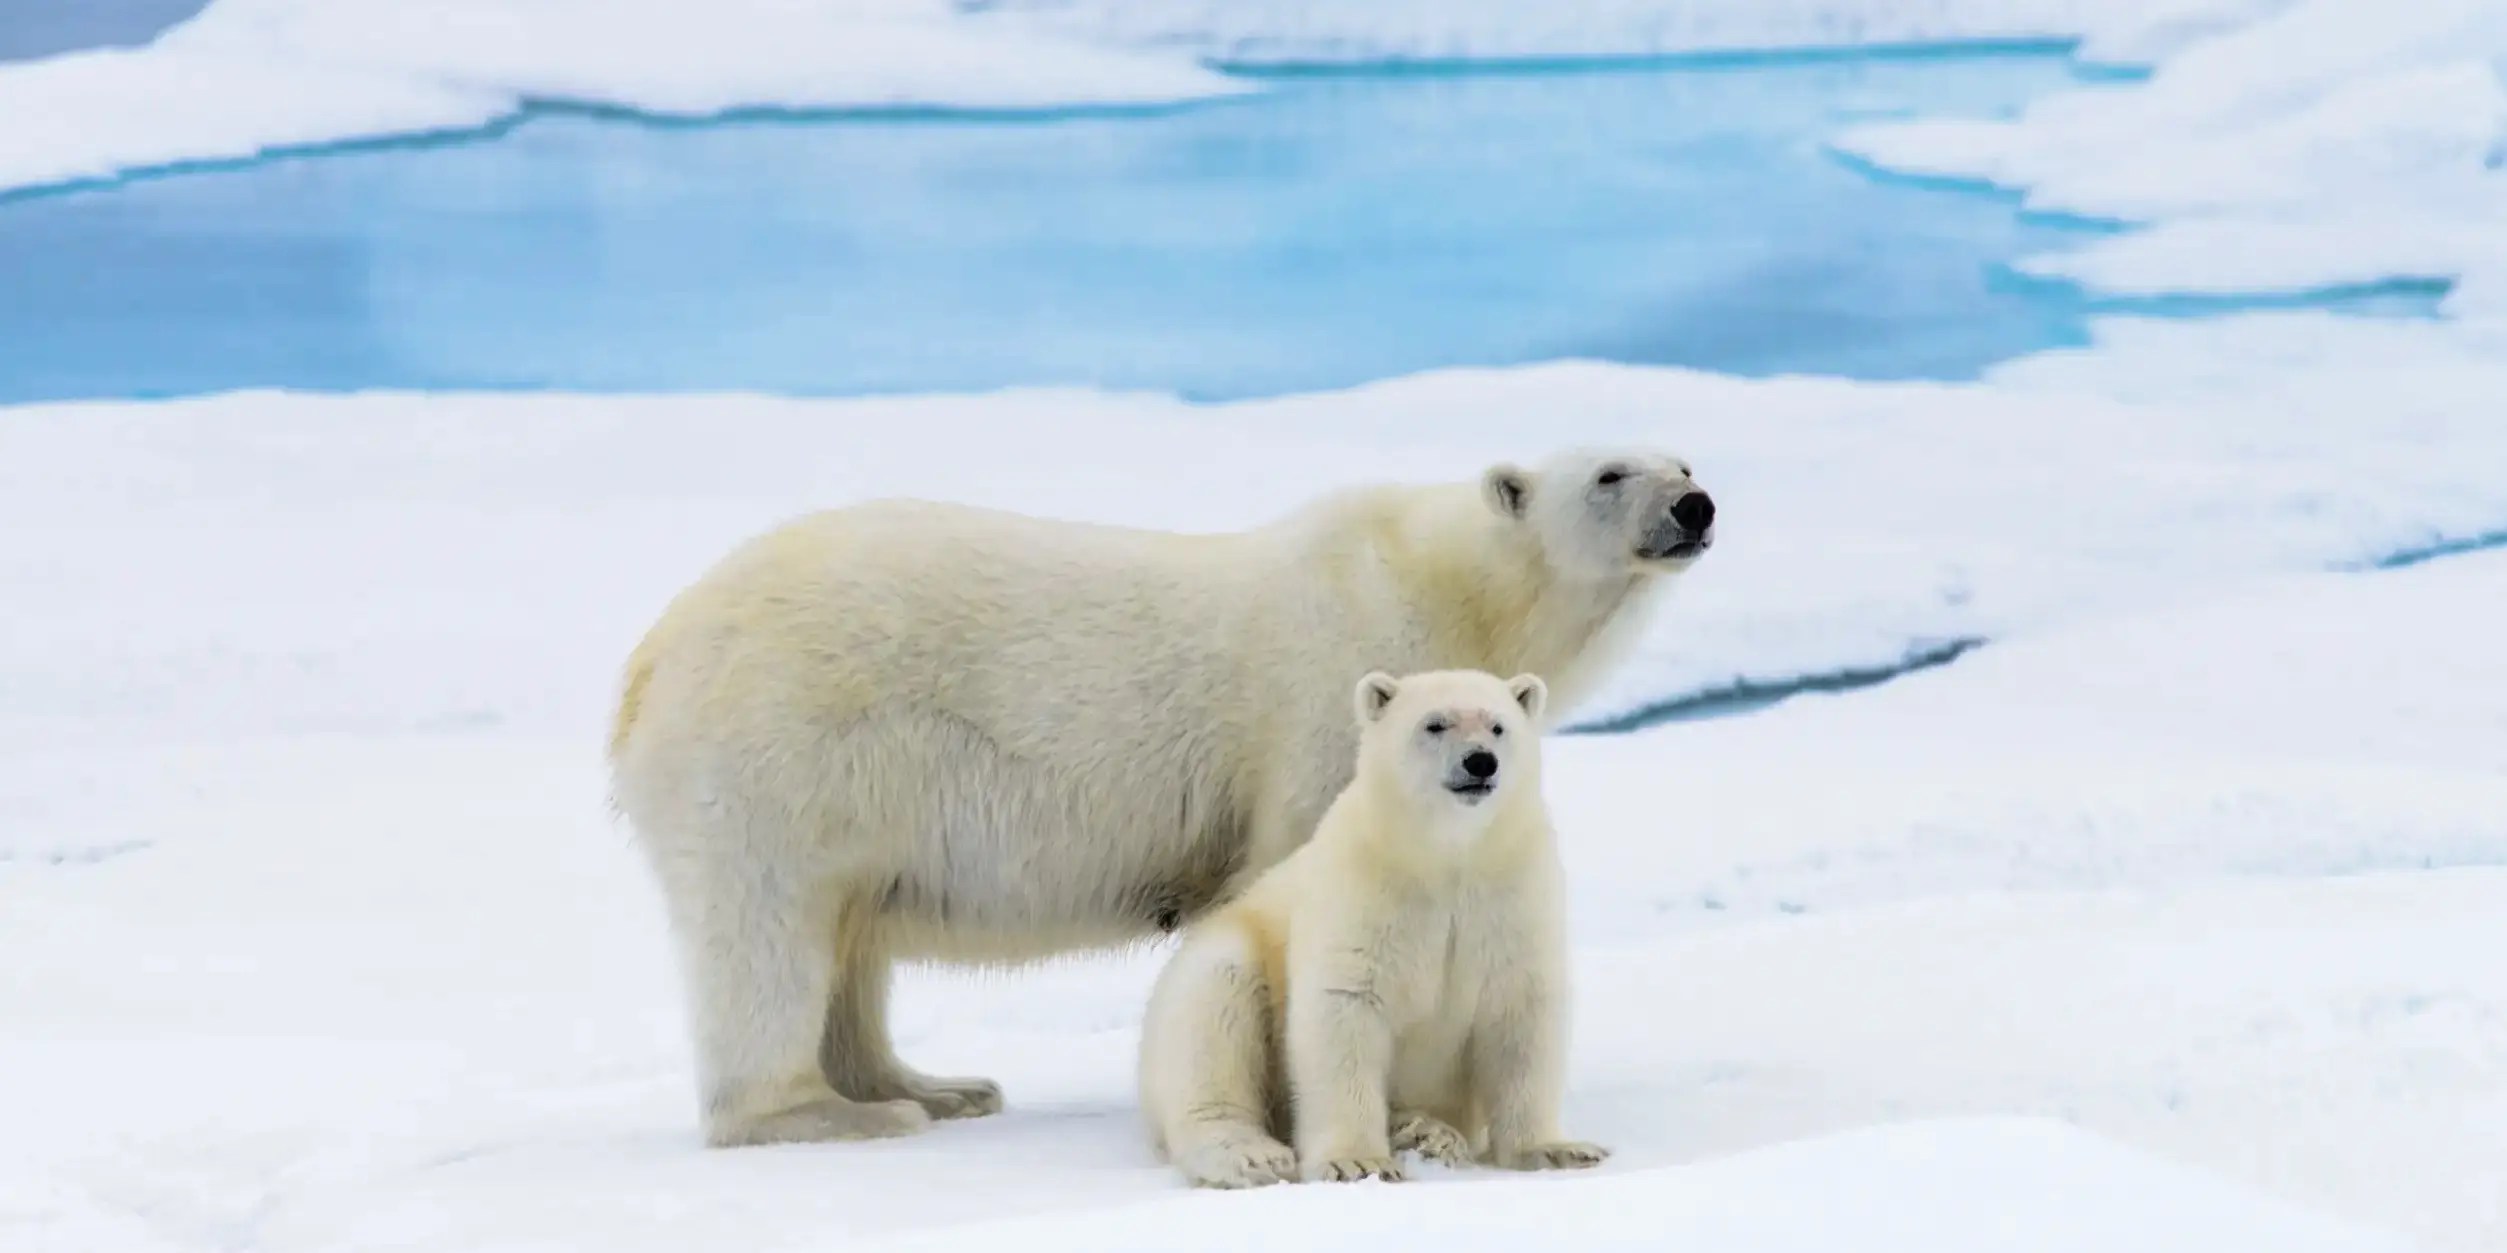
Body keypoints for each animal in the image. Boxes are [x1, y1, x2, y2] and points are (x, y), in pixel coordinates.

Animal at [1137, 668, 1603, 1188]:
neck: (1446, 857)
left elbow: (1522, 1014)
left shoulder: (1512, 892)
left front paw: (1558, 1150)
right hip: (1219, 965)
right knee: (1213, 1017)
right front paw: (1357, 1162)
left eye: (1499, 726)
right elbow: (1345, 1011)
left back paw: (1425, 1131)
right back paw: (1252, 1154)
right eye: (1434, 724)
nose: (1481, 762)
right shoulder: (1364, 892)